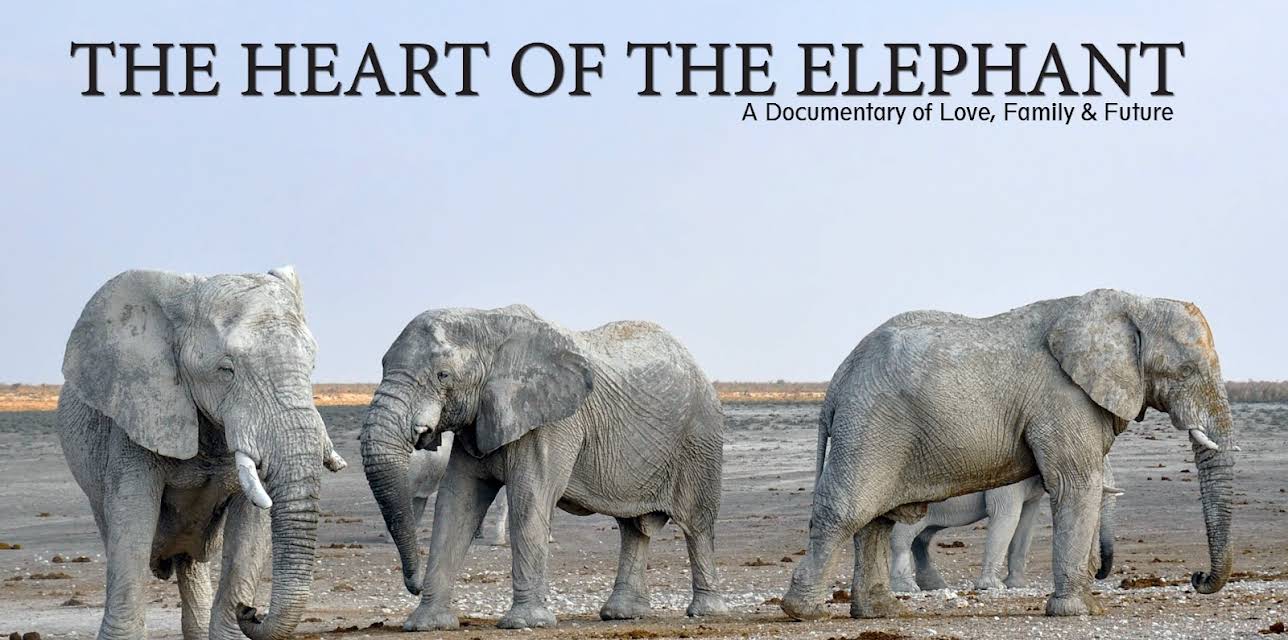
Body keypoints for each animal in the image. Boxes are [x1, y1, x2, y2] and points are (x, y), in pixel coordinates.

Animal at [57, 267, 345, 640]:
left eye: (311, 366)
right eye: (226, 370)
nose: (252, 610)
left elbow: (250, 529)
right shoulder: (136, 414)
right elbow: (132, 521)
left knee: (191, 562)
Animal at [360, 305, 728, 630]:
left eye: (443, 375)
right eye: (383, 365)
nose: (414, 584)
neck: (487, 322)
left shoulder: (553, 423)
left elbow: (529, 498)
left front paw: (525, 623)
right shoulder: (478, 421)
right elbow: (456, 504)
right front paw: (426, 624)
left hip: (700, 438)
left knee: (696, 523)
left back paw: (705, 611)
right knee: (633, 528)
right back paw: (622, 614)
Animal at [889, 459, 1122, 593]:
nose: (1098, 573)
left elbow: (1026, 521)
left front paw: (1016, 585)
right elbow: (1006, 515)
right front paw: (993, 586)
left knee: (922, 539)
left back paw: (934, 586)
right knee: (903, 536)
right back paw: (907, 588)